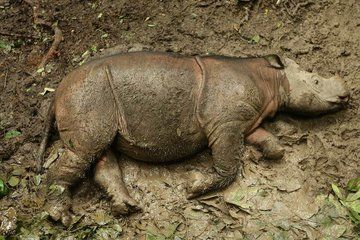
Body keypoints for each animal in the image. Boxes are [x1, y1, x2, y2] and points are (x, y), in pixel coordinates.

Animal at [36, 51, 348, 226]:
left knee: (99, 152)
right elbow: (229, 165)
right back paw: (61, 217)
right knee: (85, 152)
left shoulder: (247, 122)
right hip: (87, 96)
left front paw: (272, 151)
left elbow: (270, 143)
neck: (271, 79)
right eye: (316, 82)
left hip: (93, 99)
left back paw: (128, 207)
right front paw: (193, 187)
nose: (346, 95)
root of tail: (56, 93)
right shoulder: (225, 123)